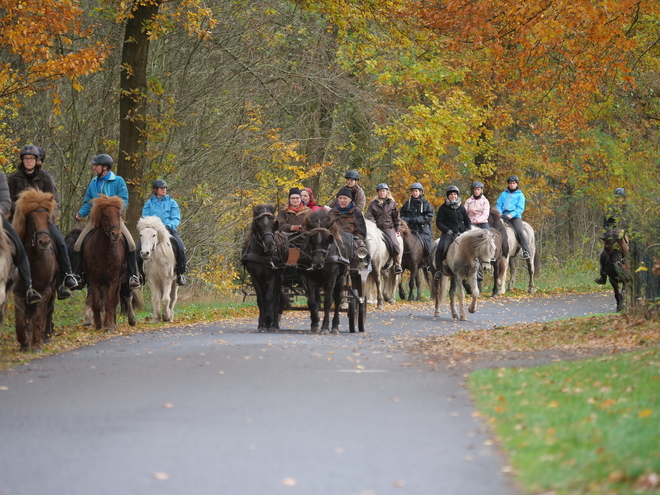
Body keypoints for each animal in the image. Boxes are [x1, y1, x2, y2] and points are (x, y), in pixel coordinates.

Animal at [11, 189, 57, 352]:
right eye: (30, 219)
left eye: (47, 218)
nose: (44, 242)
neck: (34, 259)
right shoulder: (19, 292)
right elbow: (20, 319)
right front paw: (24, 343)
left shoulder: (44, 290)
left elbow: (38, 317)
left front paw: (36, 344)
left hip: (53, 290)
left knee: (48, 311)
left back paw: (46, 337)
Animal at [240, 205, 286, 334]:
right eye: (258, 224)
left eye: (273, 223)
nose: (269, 244)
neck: (263, 254)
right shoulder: (254, 276)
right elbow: (261, 299)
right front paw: (262, 324)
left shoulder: (273, 275)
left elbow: (270, 297)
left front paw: (269, 321)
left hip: (279, 277)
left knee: (276, 298)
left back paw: (274, 324)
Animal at [298, 207, 350, 336]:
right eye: (311, 239)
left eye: (328, 239)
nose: (317, 262)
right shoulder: (309, 277)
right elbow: (312, 301)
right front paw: (315, 323)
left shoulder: (332, 278)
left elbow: (328, 302)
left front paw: (325, 327)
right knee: (317, 299)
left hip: (341, 279)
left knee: (337, 300)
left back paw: (335, 326)